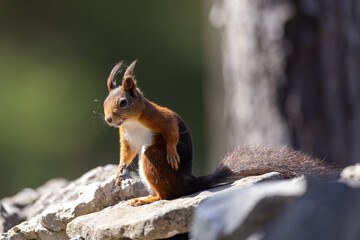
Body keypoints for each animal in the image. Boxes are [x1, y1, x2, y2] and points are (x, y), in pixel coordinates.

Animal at [102, 60, 338, 206]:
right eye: (104, 103)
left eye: (123, 103)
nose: (109, 120)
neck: (131, 122)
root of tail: (188, 182)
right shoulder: (126, 136)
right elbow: (127, 153)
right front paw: (119, 172)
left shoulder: (156, 116)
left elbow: (170, 129)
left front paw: (172, 152)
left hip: (152, 158)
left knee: (167, 194)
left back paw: (147, 199)